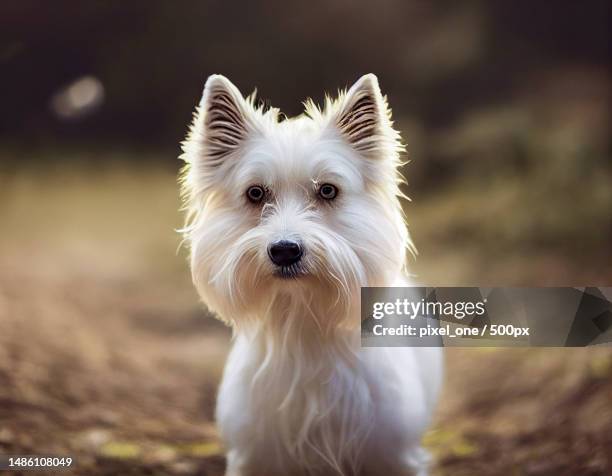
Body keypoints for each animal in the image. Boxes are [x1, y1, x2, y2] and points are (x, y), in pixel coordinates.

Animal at [179, 73, 442, 476]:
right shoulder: (255, 455)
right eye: (255, 193)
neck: (302, 318)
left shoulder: (392, 453)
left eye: (328, 191)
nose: (285, 250)